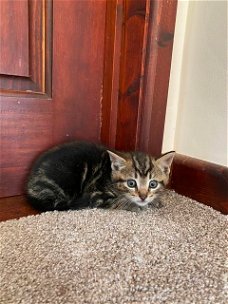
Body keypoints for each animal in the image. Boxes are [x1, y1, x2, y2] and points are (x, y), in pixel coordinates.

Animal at [26, 142, 175, 211]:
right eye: (131, 183)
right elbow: (119, 201)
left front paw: (156, 200)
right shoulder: (95, 194)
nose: (143, 197)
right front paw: (135, 205)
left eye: (153, 184)